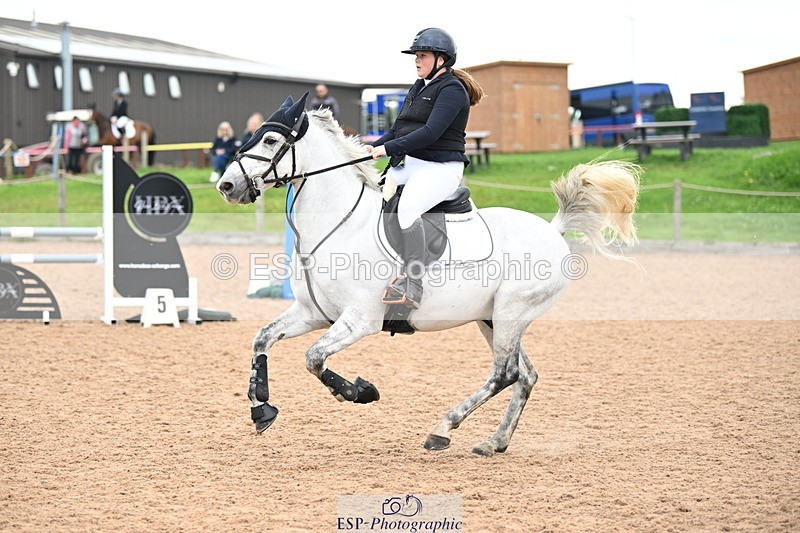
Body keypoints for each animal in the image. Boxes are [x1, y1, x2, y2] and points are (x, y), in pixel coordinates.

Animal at [217, 93, 641, 455]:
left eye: (270, 139)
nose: (226, 185)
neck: (340, 224)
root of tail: (553, 230)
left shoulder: (360, 320)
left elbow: (314, 358)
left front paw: (360, 391)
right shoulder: (313, 314)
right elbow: (262, 339)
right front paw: (261, 409)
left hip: (511, 312)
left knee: (504, 375)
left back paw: (443, 429)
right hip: (493, 319)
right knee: (526, 376)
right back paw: (494, 442)